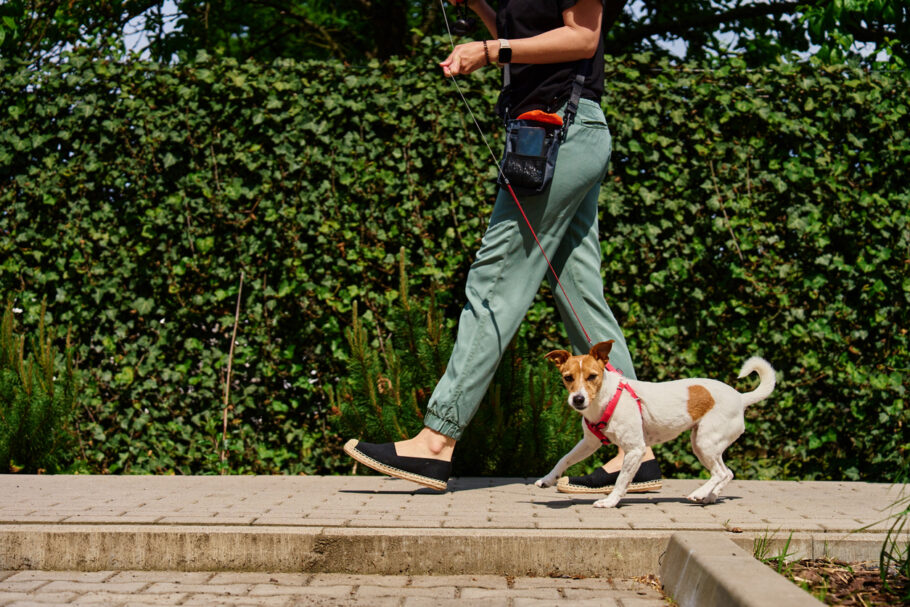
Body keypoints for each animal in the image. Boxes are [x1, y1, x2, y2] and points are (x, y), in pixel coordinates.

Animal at [536, 342, 780, 508]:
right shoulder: (589, 443)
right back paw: (709, 495)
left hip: (706, 441)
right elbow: (564, 459)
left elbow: (622, 479)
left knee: (720, 473)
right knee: (726, 473)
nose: (578, 399)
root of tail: (740, 398)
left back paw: (700, 493)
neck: (605, 400)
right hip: (703, 444)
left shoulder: (635, 450)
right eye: (568, 377)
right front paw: (548, 479)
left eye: (592, 376)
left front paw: (610, 501)